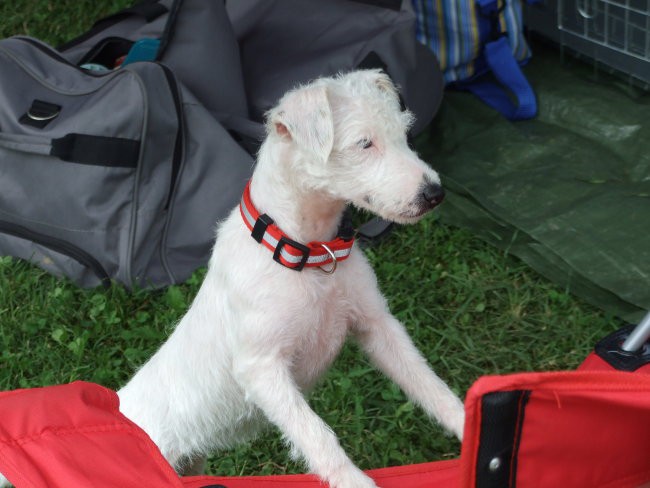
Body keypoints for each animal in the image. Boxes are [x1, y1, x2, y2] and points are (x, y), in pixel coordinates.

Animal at [1, 69, 466, 488]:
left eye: (404, 134)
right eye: (364, 143)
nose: (435, 194)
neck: (307, 253)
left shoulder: (377, 326)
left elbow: (429, 384)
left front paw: (470, 425)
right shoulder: (262, 369)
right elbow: (315, 434)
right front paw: (354, 481)